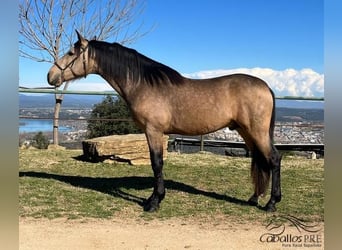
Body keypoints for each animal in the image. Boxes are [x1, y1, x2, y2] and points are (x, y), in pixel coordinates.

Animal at [48, 30, 284, 212]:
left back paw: (271, 203)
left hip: (257, 131)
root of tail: (265, 86)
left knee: (273, 159)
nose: (50, 76)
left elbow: (157, 163)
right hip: (246, 131)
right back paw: (254, 198)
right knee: (260, 160)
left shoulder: (153, 131)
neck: (143, 84)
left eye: (71, 53)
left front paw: (154, 201)